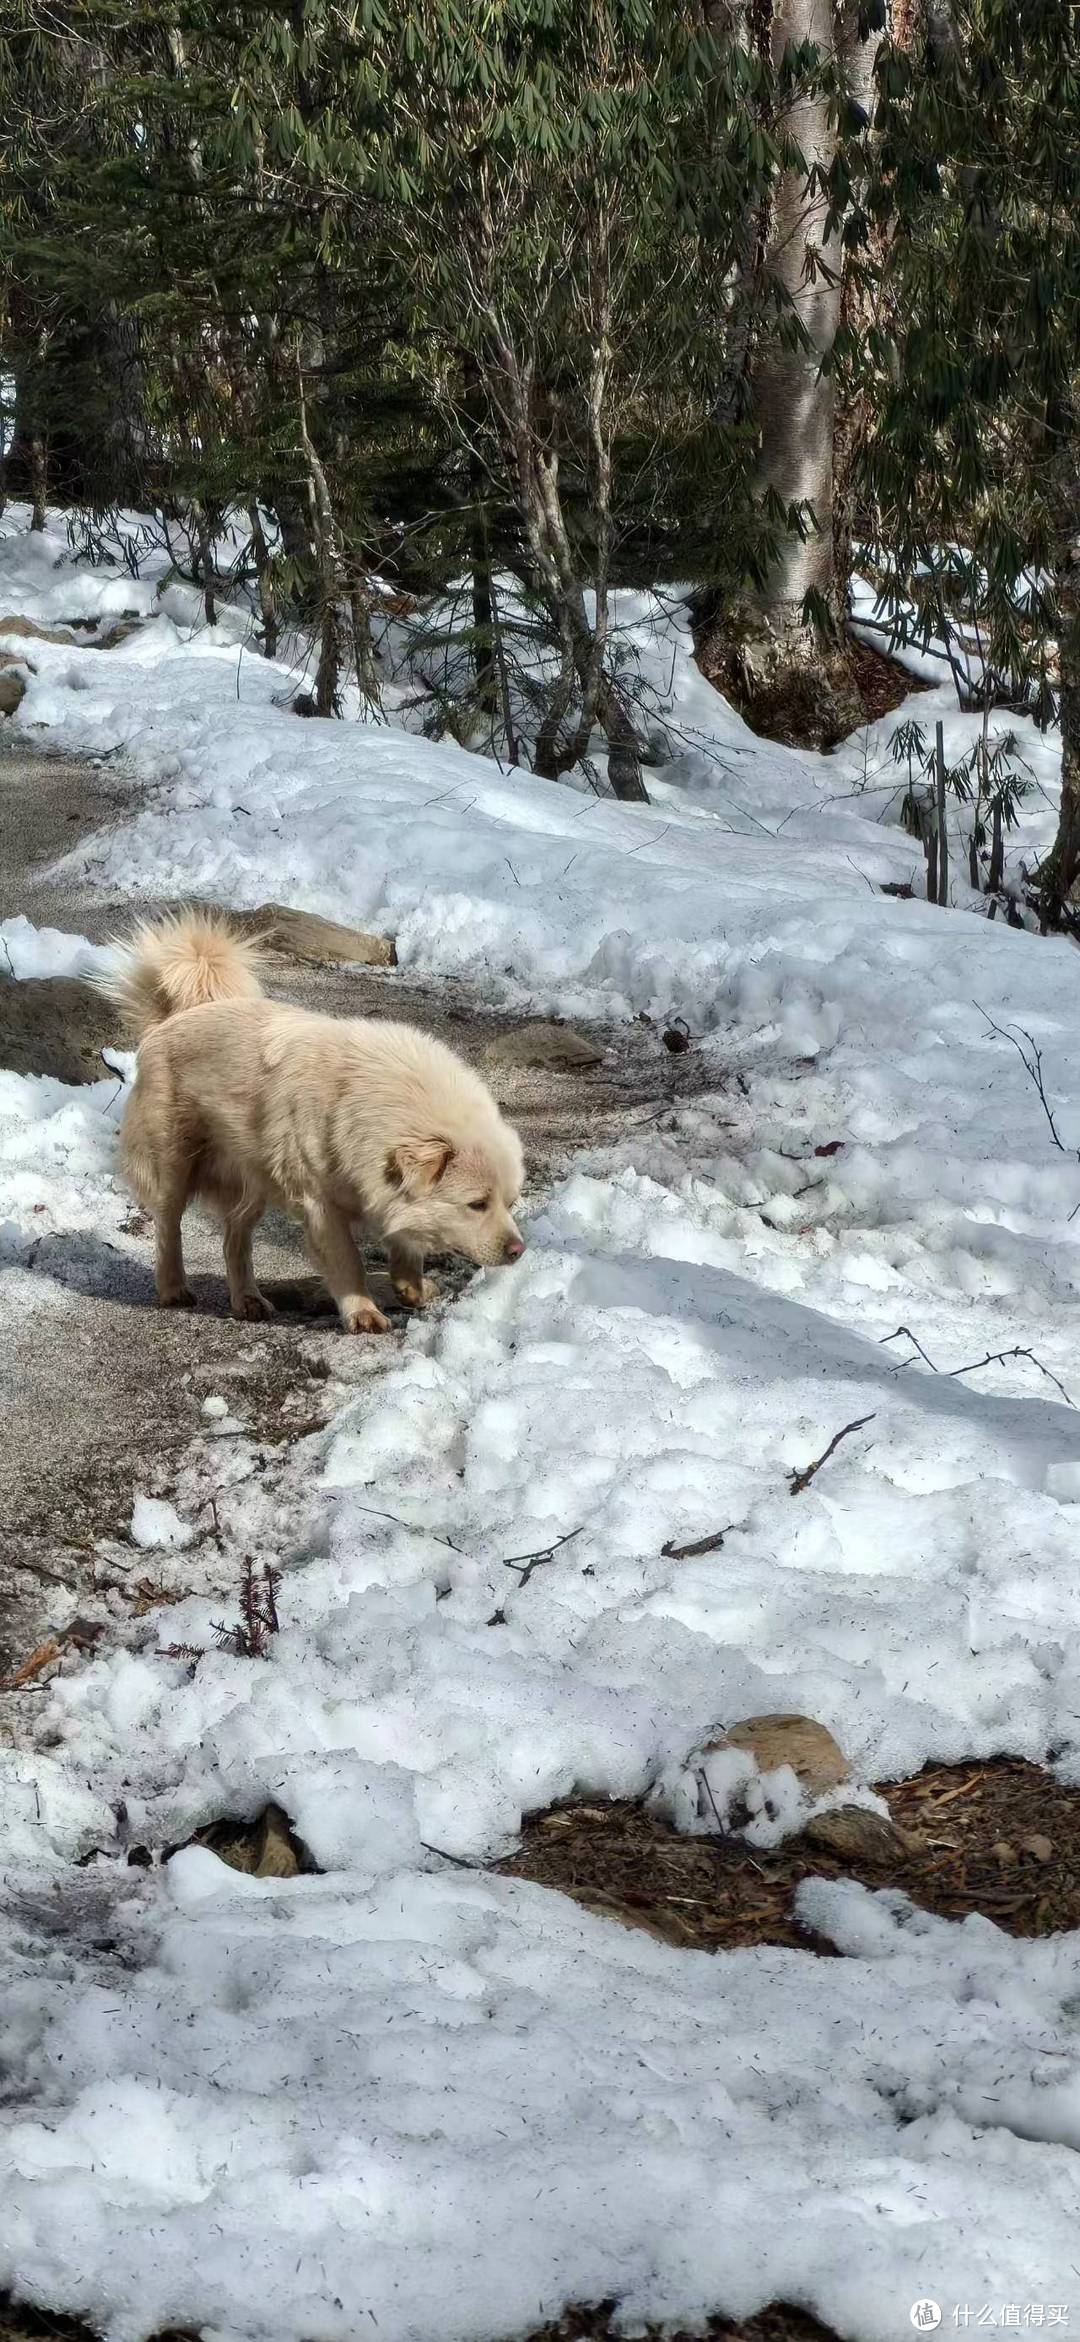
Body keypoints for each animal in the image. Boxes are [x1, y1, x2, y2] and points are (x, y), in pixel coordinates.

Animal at [103, 904, 524, 1330]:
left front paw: (411, 1288)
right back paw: (173, 1287)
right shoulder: (321, 1206)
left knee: (235, 1237)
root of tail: (168, 1022)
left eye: (510, 1203)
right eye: (477, 1204)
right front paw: (364, 1313)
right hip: (174, 1166)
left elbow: (406, 1239)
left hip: (254, 1176)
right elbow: (348, 1262)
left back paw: (248, 1299)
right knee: (168, 1225)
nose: (518, 1250)